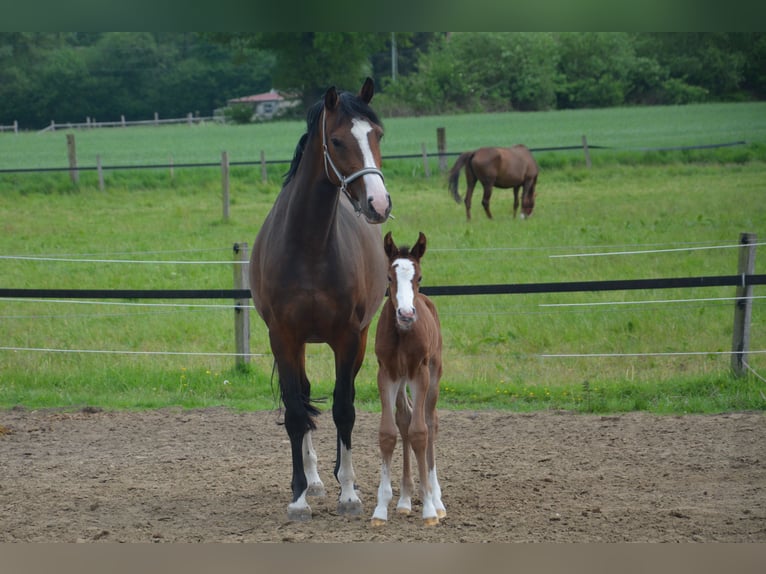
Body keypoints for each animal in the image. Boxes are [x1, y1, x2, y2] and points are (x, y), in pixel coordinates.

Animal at [252, 79, 392, 524]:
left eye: (378, 135)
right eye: (338, 140)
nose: (379, 204)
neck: (309, 246)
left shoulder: (348, 338)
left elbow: (343, 408)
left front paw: (348, 493)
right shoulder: (283, 337)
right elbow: (297, 412)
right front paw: (299, 496)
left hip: (358, 342)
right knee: (302, 398)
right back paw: (312, 480)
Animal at [370, 232, 444, 528]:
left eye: (419, 277)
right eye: (389, 277)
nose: (406, 314)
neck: (402, 334)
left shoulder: (419, 373)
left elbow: (420, 431)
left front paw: (429, 509)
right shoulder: (387, 374)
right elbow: (389, 432)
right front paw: (381, 509)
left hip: (434, 374)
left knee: (430, 421)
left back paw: (437, 499)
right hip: (401, 381)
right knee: (404, 417)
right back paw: (403, 501)